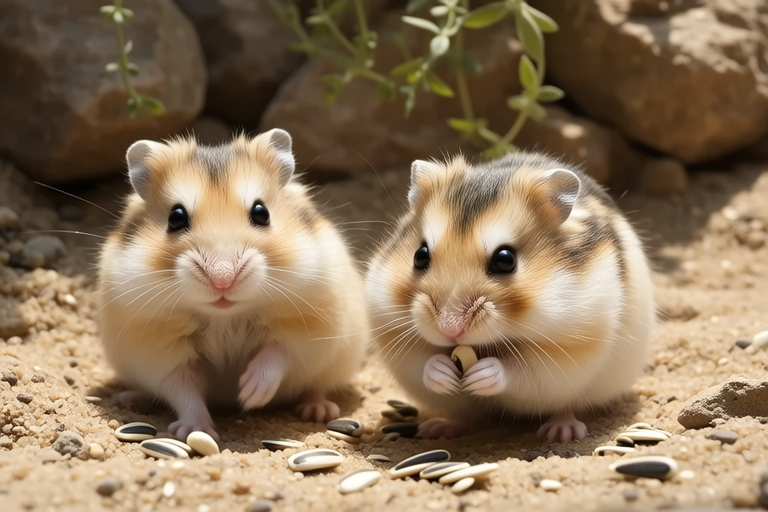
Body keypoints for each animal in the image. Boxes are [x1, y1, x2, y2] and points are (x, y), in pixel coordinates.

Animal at [98, 129, 369, 440]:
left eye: (261, 212)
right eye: (175, 217)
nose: (222, 279)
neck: (224, 316)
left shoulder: (306, 333)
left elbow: (278, 353)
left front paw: (250, 394)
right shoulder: (161, 354)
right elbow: (184, 391)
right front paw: (194, 430)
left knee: (316, 386)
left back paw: (318, 410)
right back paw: (131, 397)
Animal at [366, 152, 654, 442]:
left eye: (505, 260)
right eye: (419, 255)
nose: (449, 331)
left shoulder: (566, 353)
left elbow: (520, 371)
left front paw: (484, 374)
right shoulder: (397, 340)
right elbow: (423, 363)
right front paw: (442, 371)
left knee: (565, 406)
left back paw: (562, 432)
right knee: (463, 416)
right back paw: (438, 429)